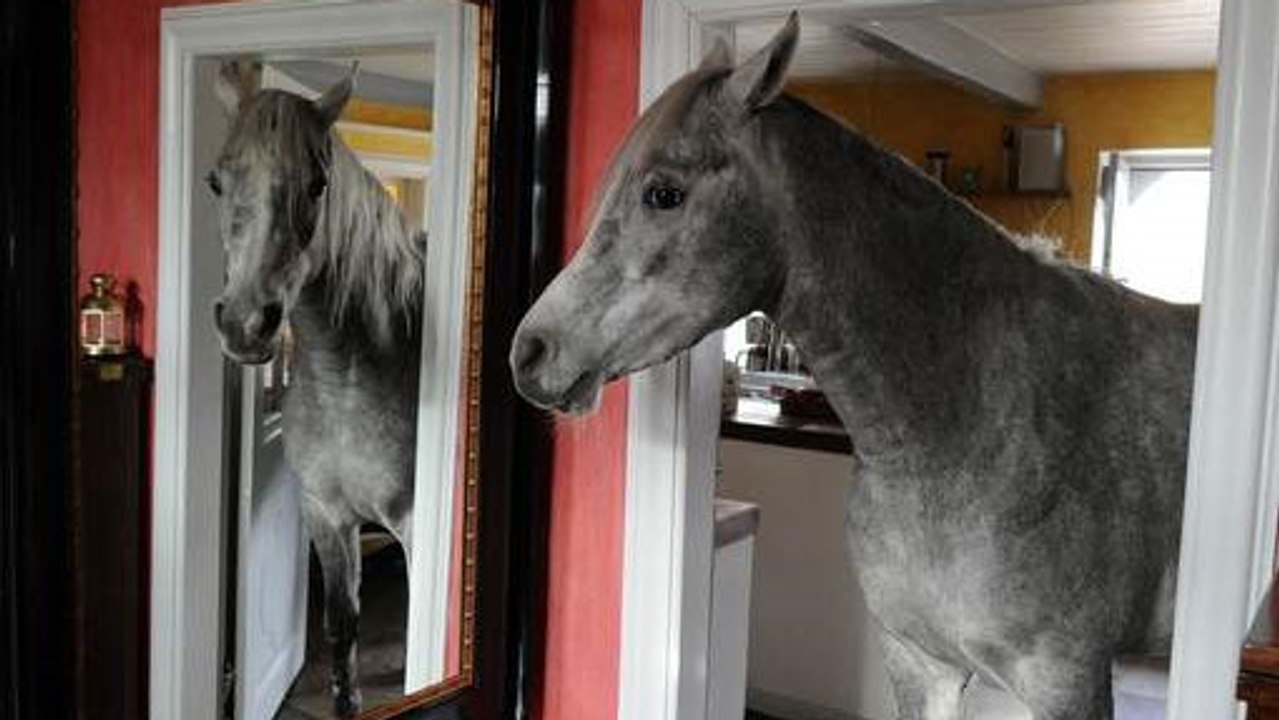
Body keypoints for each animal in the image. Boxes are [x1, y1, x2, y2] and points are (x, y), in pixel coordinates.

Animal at [208, 61, 425, 718]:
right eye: (215, 182)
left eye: (318, 185)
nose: (246, 324)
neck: (346, 383)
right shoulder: (328, 515)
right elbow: (341, 624)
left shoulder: (414, 526)